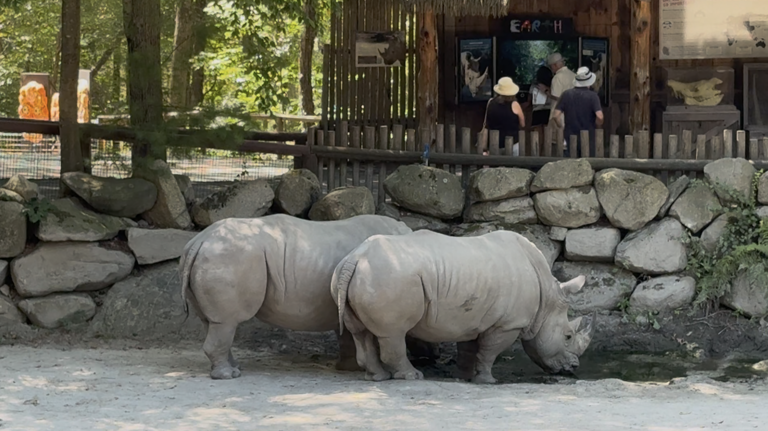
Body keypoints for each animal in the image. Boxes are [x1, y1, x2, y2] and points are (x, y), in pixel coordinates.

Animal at [179, 214, 436, 380]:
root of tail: (198, 240)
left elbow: (346, 334)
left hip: (212, 256)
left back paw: (234, 368)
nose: (430, 357)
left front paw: (350, 368)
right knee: (226, 321)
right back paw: (229, 375)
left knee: (213, 321)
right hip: (228, 257)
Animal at [331, 229, 595, 383]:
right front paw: (487, 380)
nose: (573, 367)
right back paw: (412, 376)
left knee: (360, 332)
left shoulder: (473, 317)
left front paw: (465, 376)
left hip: (353, 276)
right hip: (389, 277)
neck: (547, 300)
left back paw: (377, 377)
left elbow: (470, 348)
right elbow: (490, 351)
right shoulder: (509, 324)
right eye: (568, 336)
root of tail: (355, 258)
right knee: (394, 333)